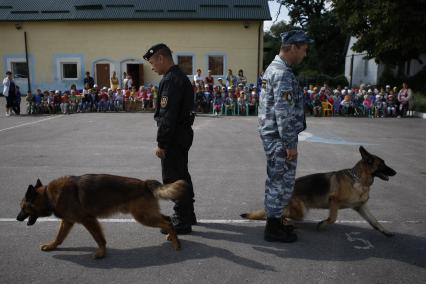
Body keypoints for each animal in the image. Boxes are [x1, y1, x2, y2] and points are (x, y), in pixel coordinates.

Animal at [17, 174, 186, 258]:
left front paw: (102, 253)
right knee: (167, 219)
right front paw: (52, 246)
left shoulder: (88, 220)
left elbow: (99, 238)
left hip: (143, 217)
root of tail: (144, 183)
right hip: (147, 214)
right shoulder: (68, 221)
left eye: (23, 207)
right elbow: (59, 237)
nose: (18, 218)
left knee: (167, 222)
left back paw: (176, 244)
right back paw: (172, 237)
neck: (47, 195)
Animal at [241, 146, 398, 237]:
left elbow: (374, 220)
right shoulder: (334, 201)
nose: (395, 172)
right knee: (275, 214)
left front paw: (385, 231)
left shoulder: (361, 207)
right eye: (382, 164)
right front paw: (322, 225)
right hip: (300, 211)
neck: (358, 179)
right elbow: (333, 218)